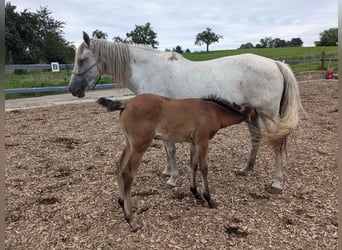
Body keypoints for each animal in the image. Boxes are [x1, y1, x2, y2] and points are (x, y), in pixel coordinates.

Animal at [68, 31, 304, 194]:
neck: (150, 70)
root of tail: (275, 63)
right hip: (252, 114)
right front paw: (167, 171)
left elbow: (170, 149)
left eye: (82, 60)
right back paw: (246, 169)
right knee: (256, 139)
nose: (72, 89)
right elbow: (166, 149)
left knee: (277, 145)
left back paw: (276, 184)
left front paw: (172, 179)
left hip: (268, 115)